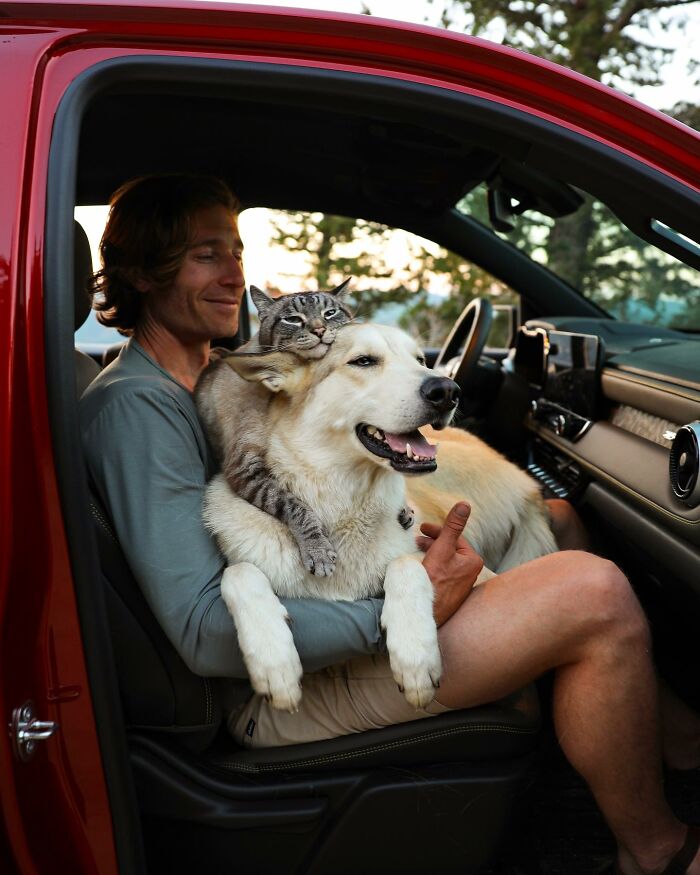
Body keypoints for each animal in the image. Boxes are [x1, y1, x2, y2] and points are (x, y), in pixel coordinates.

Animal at [204, 326, 556, 716]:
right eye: (363, 361)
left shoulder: (473, 570)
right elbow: (239, 573)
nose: (448, 391)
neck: (341, 508)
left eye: (420, 360)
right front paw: (274, 663)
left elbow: (406, 564)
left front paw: (416, 656)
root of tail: (529, 484)